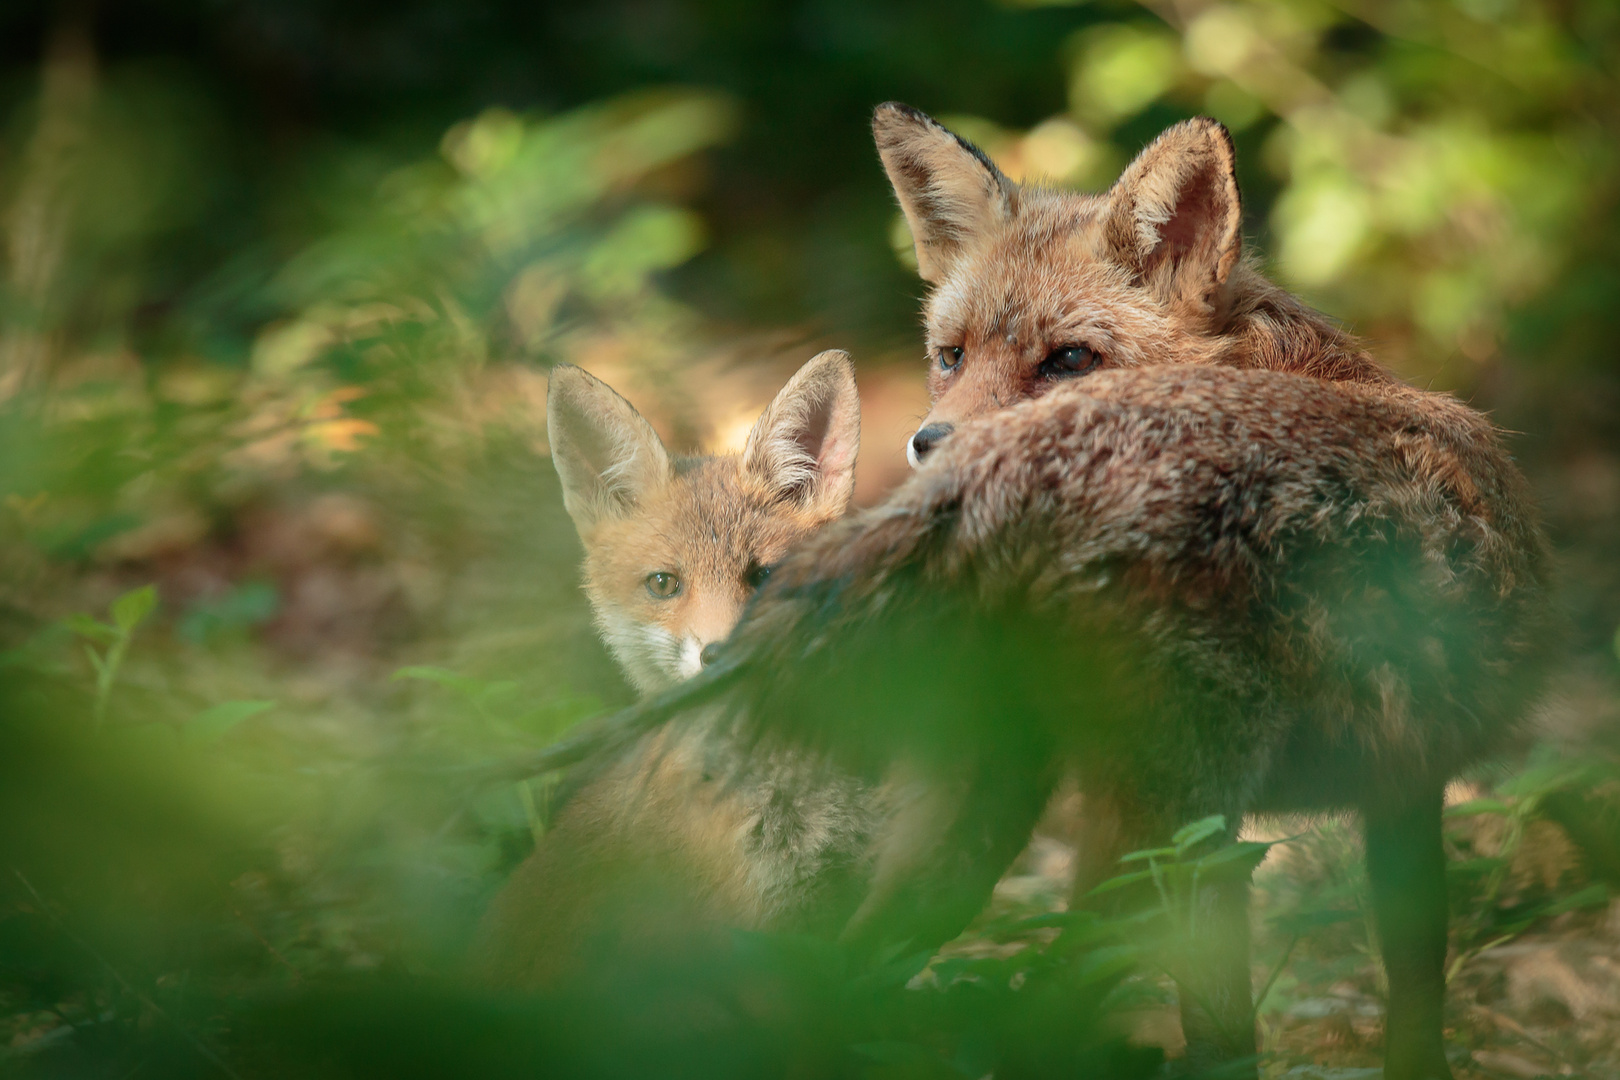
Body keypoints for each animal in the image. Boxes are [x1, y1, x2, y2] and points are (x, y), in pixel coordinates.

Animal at [473, 103, 1548, 1080]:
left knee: (864, 979)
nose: (930, 443)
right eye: (950, 357)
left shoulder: (1395, 779)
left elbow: (1413, 987)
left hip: (997, 815)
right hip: (1144, 812)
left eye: (1068, 359)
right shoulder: (1307, 803)